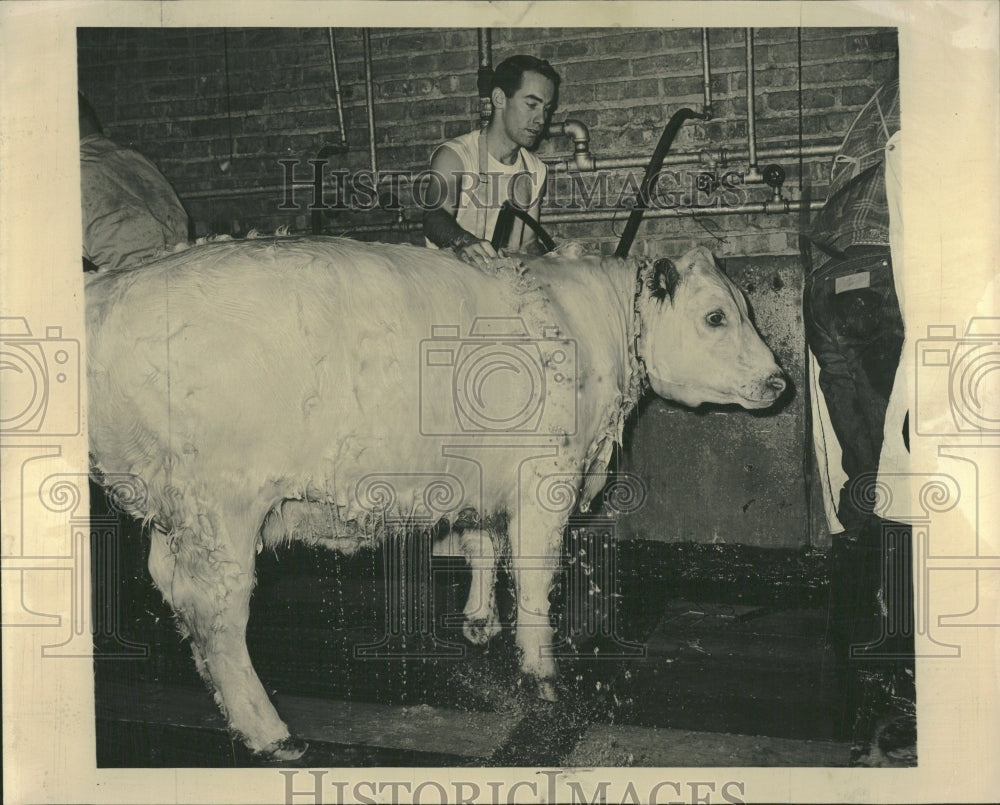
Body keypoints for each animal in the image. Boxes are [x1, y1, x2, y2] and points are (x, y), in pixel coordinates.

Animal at [86, 236, 784, 756]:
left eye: (745, 309)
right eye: (716, 316)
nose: (779, 381)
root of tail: (112, 289)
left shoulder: (479, 470)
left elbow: (482, 545)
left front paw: (479, 622)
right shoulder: (544, 478)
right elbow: (535, 578)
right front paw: (541, 673)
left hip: (176, 510)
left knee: (174, 587)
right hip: (222, 505)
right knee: (218, 612)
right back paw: (266, 728)